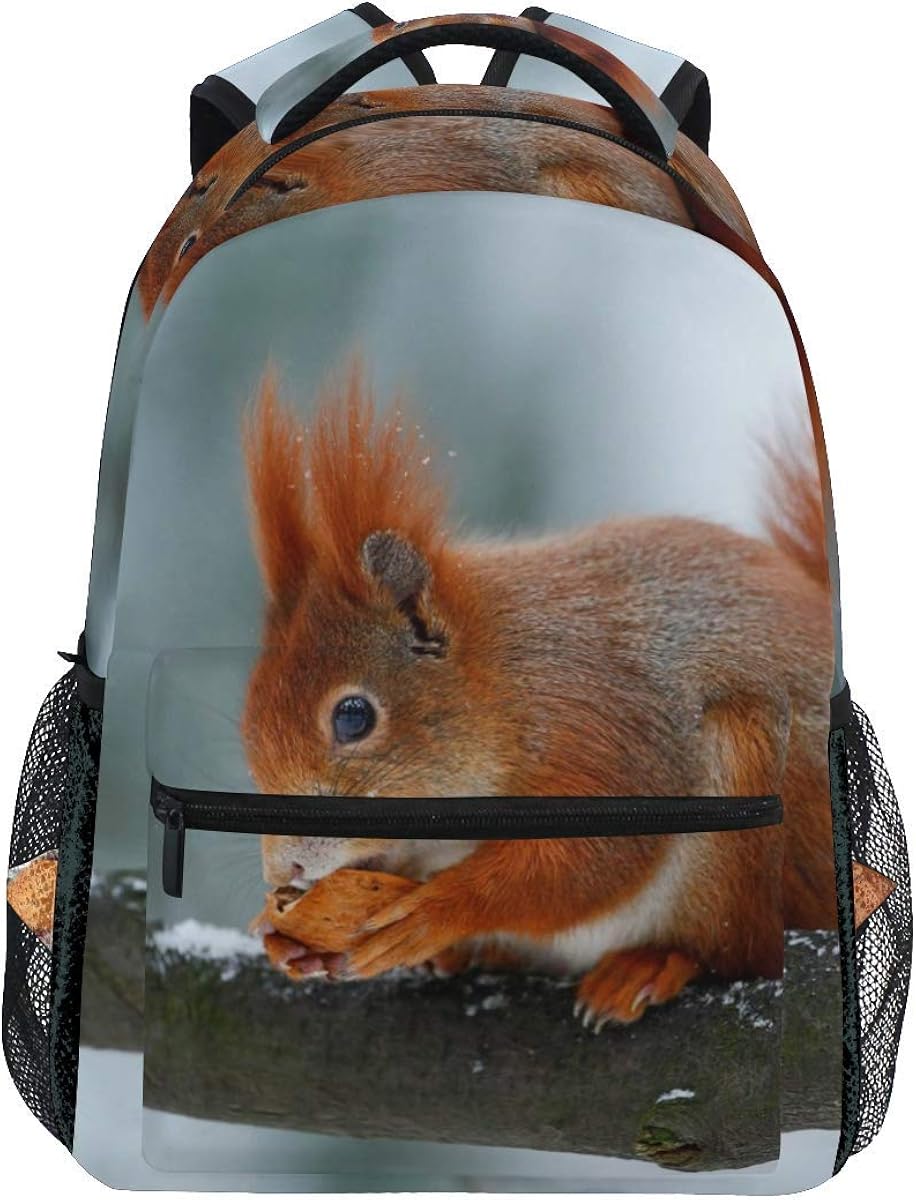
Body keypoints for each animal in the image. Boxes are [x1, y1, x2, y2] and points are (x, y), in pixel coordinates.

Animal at [241, 364, 836, 1027]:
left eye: (353, 717)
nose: (285, 867)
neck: (503, 687)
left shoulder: (598, 726)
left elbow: (585, 863)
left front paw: (435, 912)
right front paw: (285, 936)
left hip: (745, 799)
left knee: (732, 948)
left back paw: (651, 963)